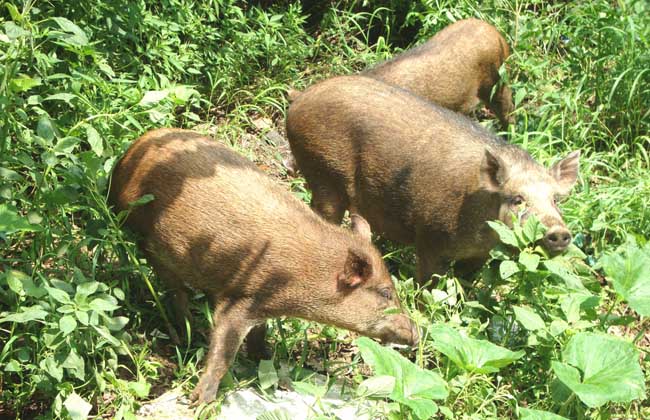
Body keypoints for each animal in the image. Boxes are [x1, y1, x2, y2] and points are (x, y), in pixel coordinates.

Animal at [107, 128, 416, 404]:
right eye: (386, 293)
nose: (416, 332)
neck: (304, 274)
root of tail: (124, 160)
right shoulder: (242, 297)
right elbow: (224, 350)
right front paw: (200, 402)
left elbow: (259, 337)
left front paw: (271, 365)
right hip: (150, 243)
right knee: (176, 292)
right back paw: (189, 335)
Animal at [284, 77, 576, 284]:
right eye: (517, 199)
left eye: (555, 200)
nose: (559, 232)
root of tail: (299, 99)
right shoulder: (429, 236)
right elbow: (428, 284)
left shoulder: (479, 255)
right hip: (323, 171)